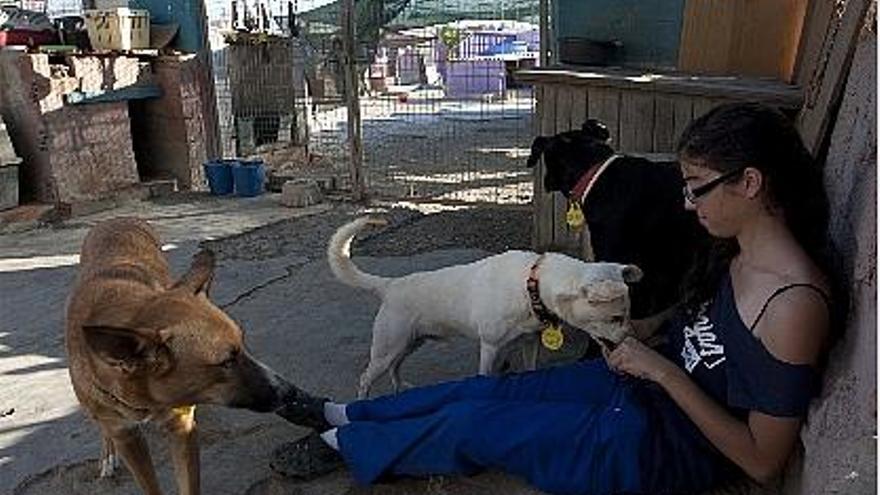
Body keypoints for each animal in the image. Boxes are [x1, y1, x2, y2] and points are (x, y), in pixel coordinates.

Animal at [64, 221, 296, 495]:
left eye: (243, 344)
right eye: (226, 362)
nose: (290, 392)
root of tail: (116, 220)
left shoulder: (182, 427)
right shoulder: (127, 437)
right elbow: (148, 483)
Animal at [328, 217, 640, 400]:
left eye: (627, 315)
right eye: (616, 317)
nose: (630, 343)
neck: (531, 286)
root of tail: (390, 285)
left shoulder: (530, 342)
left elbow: (530, 368)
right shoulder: (490, 348)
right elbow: (486, 375)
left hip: (410, 343)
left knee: (396, 366)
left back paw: (399, 389)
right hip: (388, 347)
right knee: (366, 377)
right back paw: (362, 405)